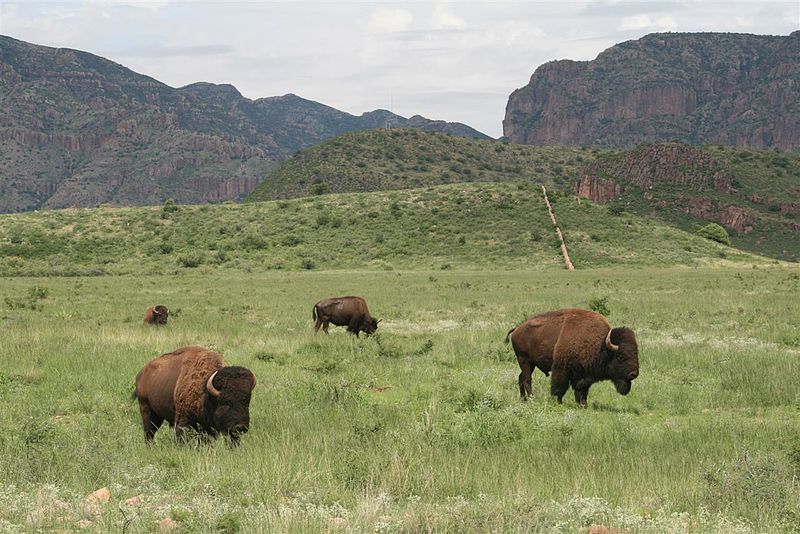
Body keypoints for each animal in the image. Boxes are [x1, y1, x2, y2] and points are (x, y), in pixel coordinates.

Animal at [506, 308, 636, 408]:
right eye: (620, 356)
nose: (634, 374)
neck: (601, 346)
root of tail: (517, 329)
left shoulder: (584, 375)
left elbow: (582, 390)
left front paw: (583, 405)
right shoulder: (561, 368)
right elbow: (559, 387)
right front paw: (558, 402)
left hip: (529, 364)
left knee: (521, 378)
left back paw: (523, 399)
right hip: (525, 361)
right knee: (527, 379)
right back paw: (531, 398)